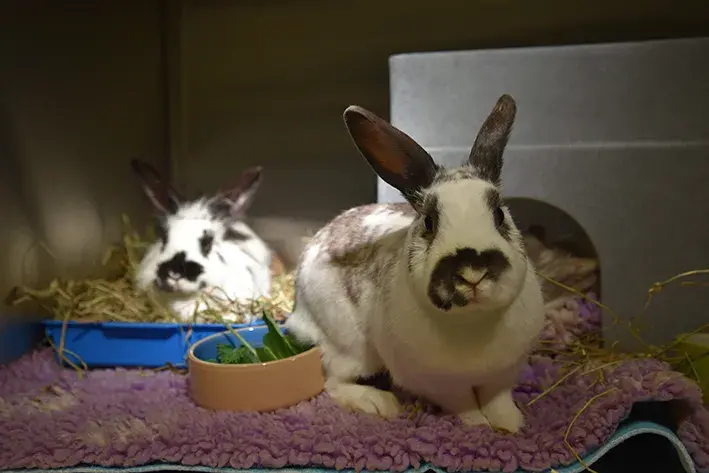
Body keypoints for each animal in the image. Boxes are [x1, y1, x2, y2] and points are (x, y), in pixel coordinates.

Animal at [284, 95, 545, 433]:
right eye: (429, 222)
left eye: (499, 215)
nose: (472, 270)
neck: (472, 321)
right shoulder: (437, 383)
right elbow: (464, 403)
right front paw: (477, 425)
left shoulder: (503, 373)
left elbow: (496, 398)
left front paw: (510, 424)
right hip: (349, 347)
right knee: (332, 380)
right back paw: (380, 403)